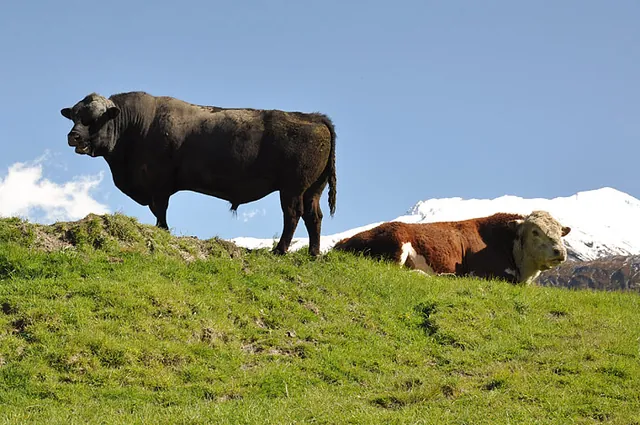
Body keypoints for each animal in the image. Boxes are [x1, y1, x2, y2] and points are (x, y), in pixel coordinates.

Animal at [60, 91, 337, 256]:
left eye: (95, 118)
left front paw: (163, 231)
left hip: (292, 189)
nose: (73, 136)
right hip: (312, 190)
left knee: (293, 215)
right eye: (74, 116)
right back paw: (313, 253)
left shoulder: (158, 184)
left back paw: (279, 250)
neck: (138, 125)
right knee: (314, 217)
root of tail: (315, 118)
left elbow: (160, 212)